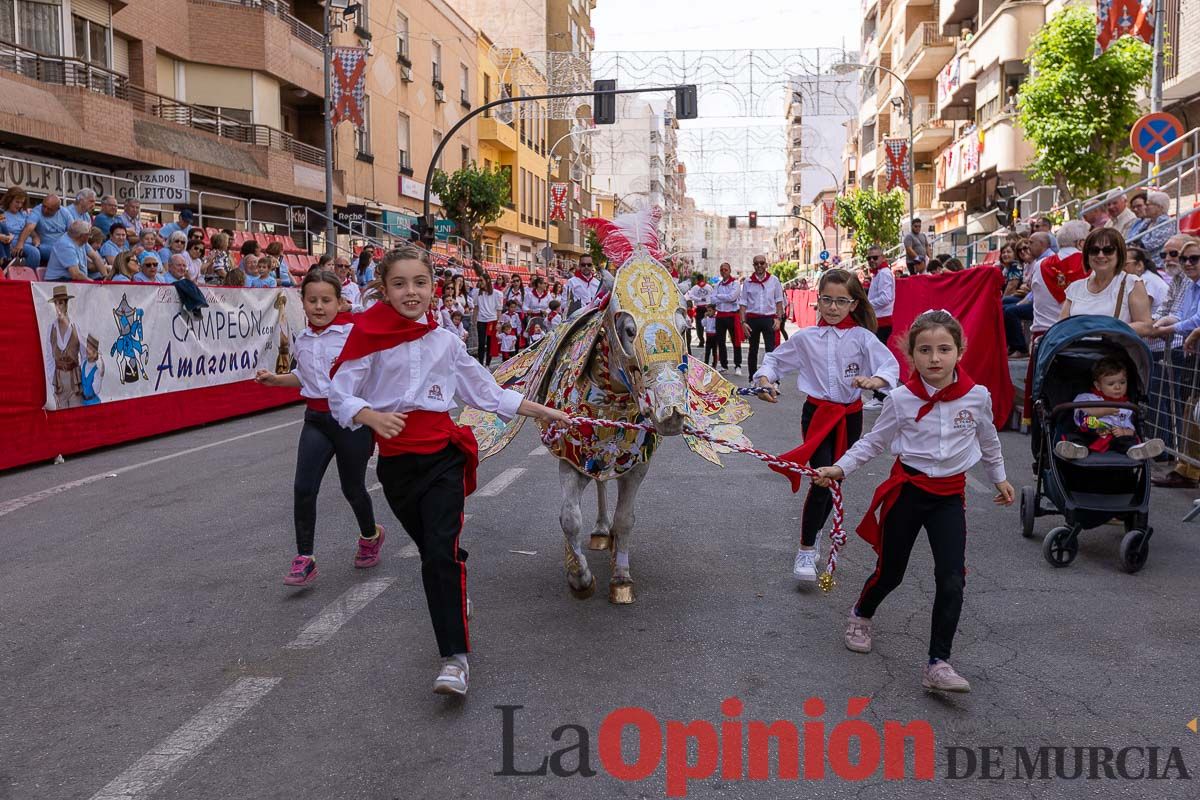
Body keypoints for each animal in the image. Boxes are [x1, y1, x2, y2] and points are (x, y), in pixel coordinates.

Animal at [458, 209, 748, 604]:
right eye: (627, 329)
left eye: (685, 325)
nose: (672, 414)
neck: (612, 400)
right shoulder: (571, 458)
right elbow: (569, 518)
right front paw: (579, 577)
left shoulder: (637, 463)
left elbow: (626, 519)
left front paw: (621, 578)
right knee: (596, 488)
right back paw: (597, 533)